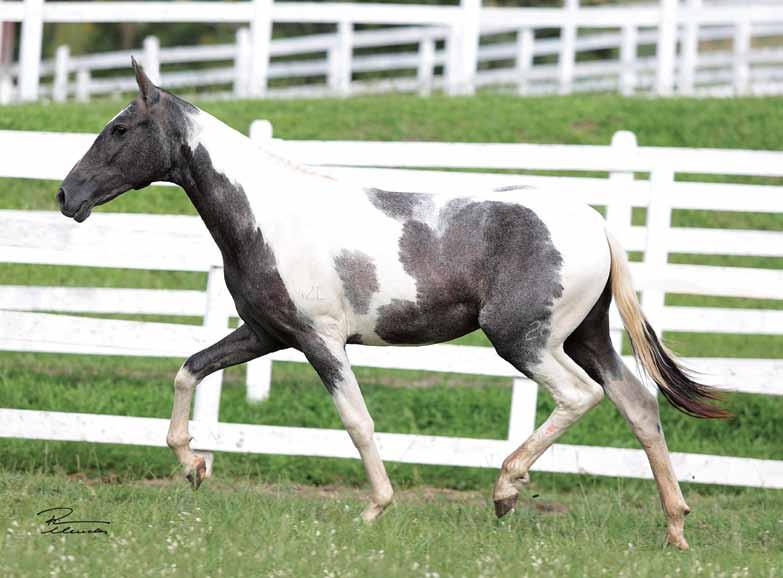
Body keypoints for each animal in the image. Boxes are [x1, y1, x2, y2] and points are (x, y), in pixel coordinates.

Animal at [56, 59, 728, 548]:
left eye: (120, 129)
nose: (67, 196)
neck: (269, 218)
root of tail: (594, 223)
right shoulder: (265, 334)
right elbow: (189, 370)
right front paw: (194, 466)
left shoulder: (319, 340)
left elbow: (357, 421)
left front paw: (375, 510)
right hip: (587, 339)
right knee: (639, 404)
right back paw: (675, 527)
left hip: (525, 341)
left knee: (580, 396)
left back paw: (506, 491)